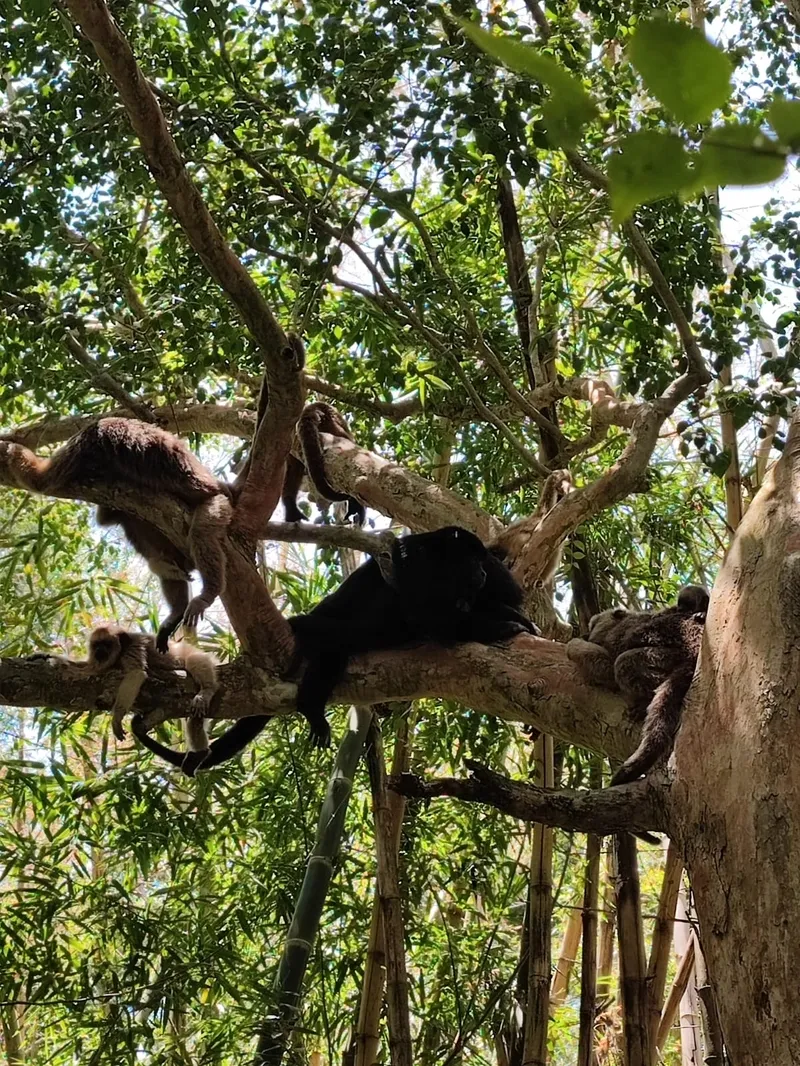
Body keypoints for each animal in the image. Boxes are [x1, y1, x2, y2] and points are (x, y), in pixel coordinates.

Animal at [0, 418, 232, 651]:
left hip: (217, 506)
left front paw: (10, 449)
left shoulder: (85, 441)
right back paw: (173, 596)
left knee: (201, 534)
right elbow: (107, 517)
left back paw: (207, 593)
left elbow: (40, 480)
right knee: (135, 523)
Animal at [566, 585, 709, 785]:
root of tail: (694, 654)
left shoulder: (617, 638)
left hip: (665, 659)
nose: (585, 633)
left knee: (624, 664)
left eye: (593, 626)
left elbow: (607, 668)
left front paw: (574, 646)